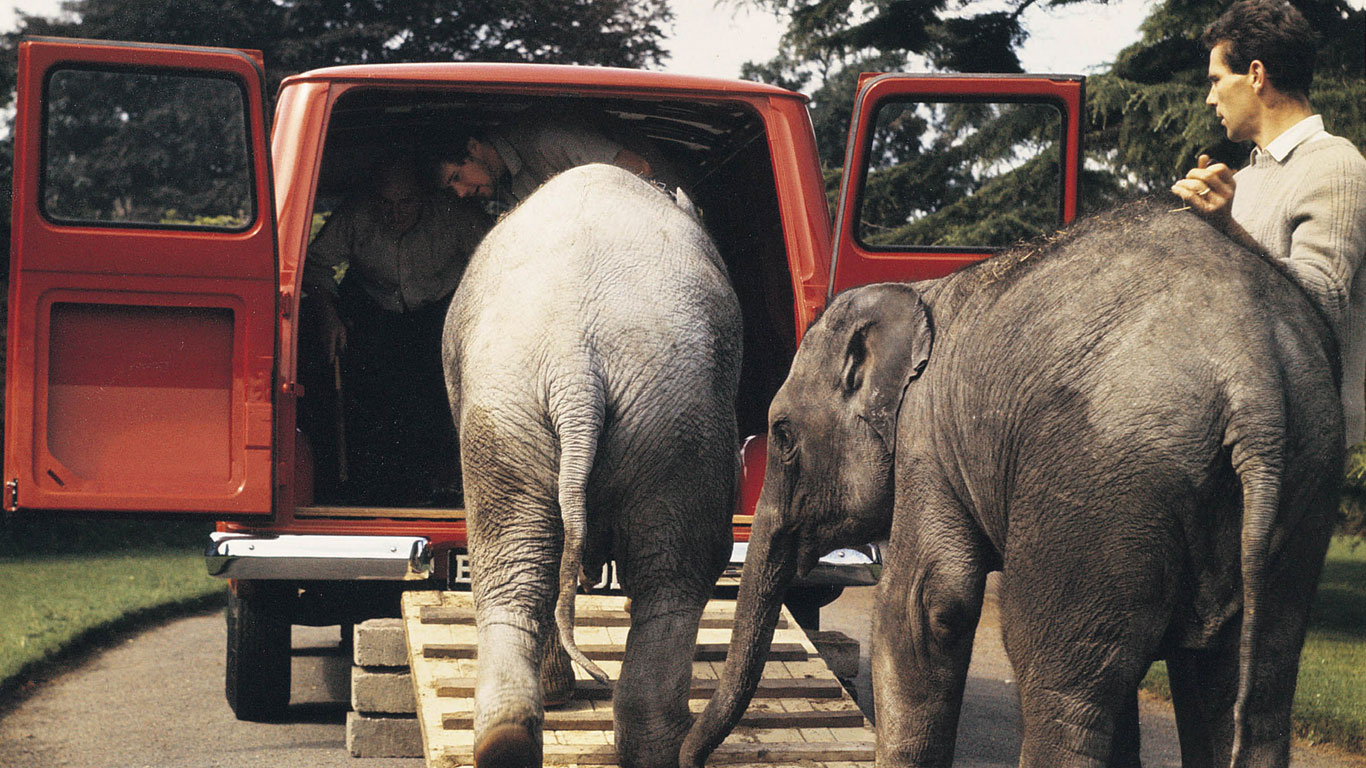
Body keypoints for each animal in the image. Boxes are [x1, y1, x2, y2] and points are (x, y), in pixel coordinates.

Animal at [442, 162, 743, 765]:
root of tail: (574, 363)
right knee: (673, 574)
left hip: (528, 414)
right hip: (666, 416)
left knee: (518, 566)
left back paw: (514, 736)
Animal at [677, 196, 1338, 765]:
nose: (688, 755)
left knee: (1059, 678)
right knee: (1247, 687)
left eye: (783, 437)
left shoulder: (927, 442)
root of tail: (1252, 374)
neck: (919, 296)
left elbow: (924, 608)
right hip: (1298, 488)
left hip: (1097, 485)